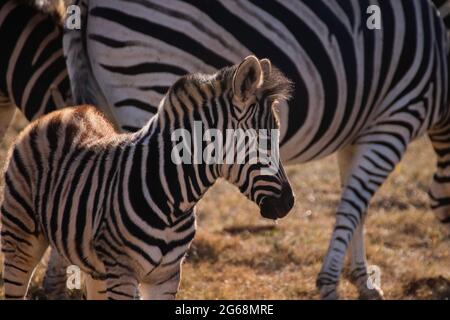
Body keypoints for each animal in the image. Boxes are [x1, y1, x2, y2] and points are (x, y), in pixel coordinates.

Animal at [0, 56, 296, 298]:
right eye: (260, 140)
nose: (289, 203)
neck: (174, 199)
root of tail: (61, 113)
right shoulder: (123, 273)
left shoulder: (166, 277)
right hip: (20, 241)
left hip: (96, 270)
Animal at [64, 0, 450, 300]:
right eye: (262, 139)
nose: (290, 204)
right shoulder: (396, 116)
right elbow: (354, 203)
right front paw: (332, 283)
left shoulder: (359, 132)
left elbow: (359, 206)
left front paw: (362, 279)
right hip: (145, 73)